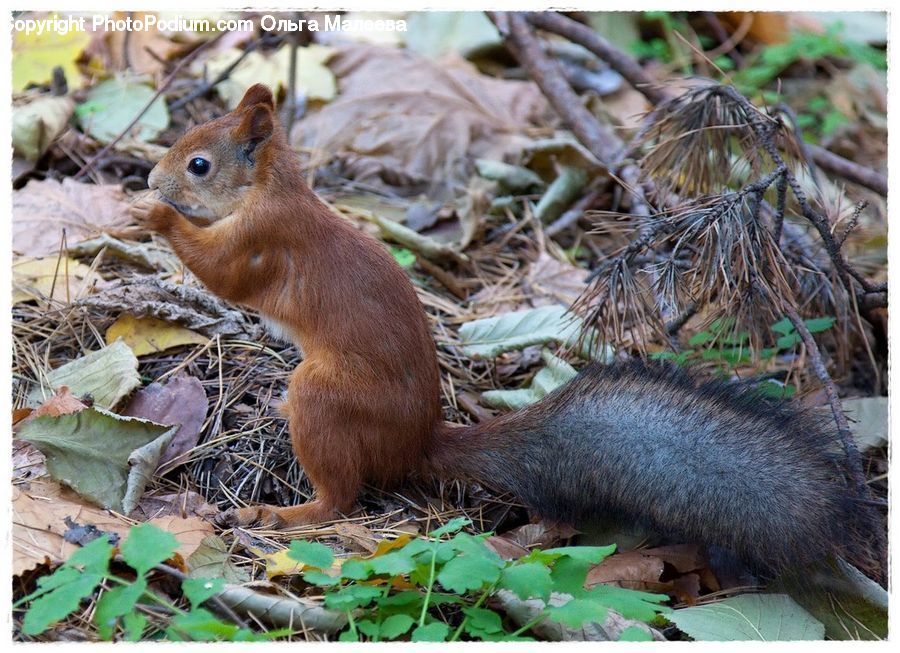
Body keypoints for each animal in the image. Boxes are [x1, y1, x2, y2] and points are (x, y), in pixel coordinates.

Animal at [132, 84, 875, 575]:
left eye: (199, 164)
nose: (151, 175)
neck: (273, 188)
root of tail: (416, 441)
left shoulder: (264, 237)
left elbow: (224, 273)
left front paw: (155, 215)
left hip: (322, 394)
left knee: (343, 497)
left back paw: (282, 516)